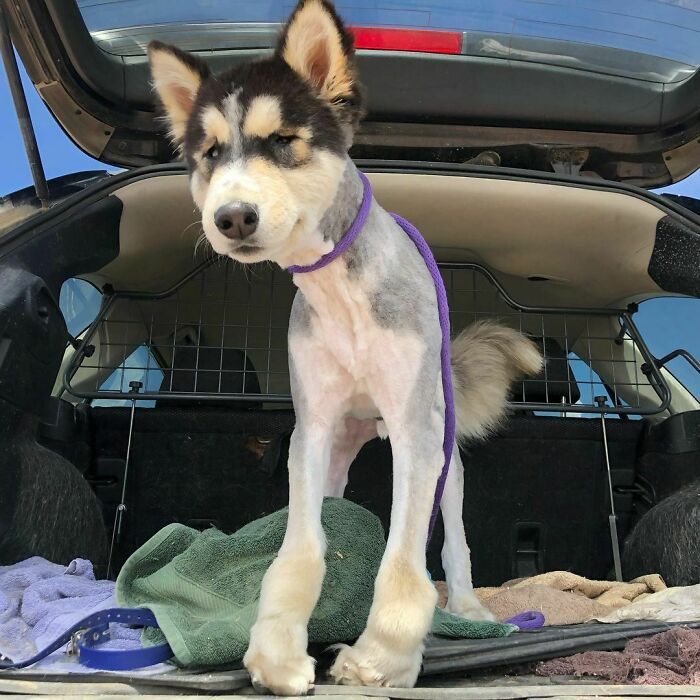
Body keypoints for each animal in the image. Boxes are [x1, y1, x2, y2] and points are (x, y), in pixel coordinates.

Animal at [149, 0, 540, 688]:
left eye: (284, 141)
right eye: (210, 153)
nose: (232, 218)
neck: (340, 293)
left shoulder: (415, 435)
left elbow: (407, 562)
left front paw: (382, 656)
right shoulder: (311, 432)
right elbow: (300, 548)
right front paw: (277, 649)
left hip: (443, 450)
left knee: (455, 542)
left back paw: (468, 607)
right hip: (338, 452)